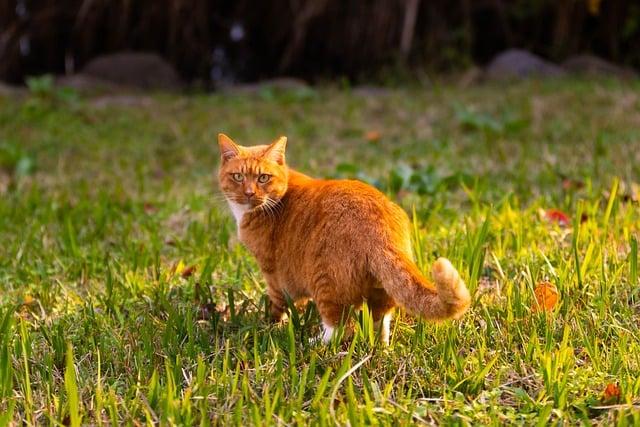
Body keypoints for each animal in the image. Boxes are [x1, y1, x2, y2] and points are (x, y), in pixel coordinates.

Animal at [218, 134, 472, 344]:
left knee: (340, 327)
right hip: (383, 290)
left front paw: (269, 327)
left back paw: (312, 343)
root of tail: (380, 227)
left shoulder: (275, 276)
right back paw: (380, 346)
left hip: (325, 283)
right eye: (238, 176)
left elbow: (277, 305)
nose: (249, 193)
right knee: (380, 320)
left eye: (263, 178)